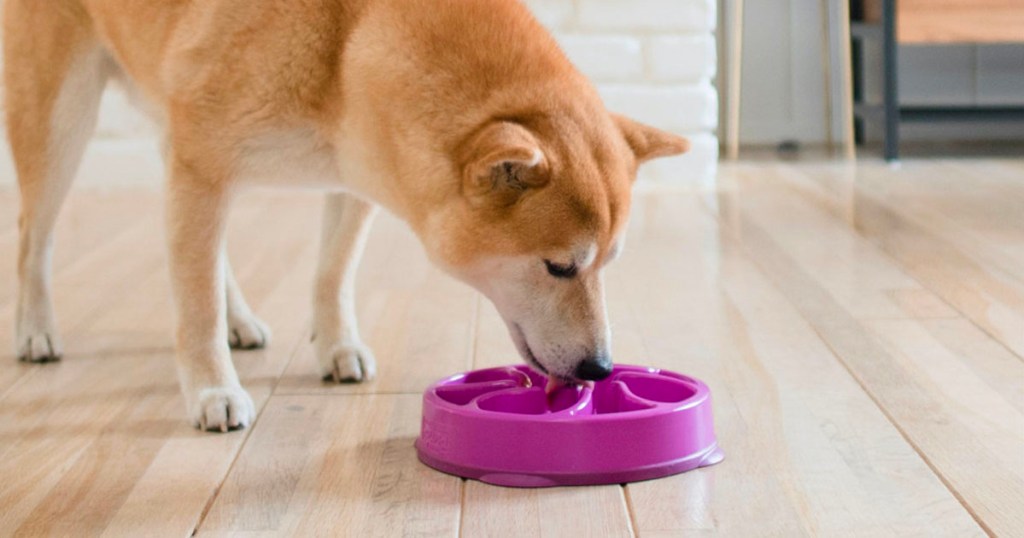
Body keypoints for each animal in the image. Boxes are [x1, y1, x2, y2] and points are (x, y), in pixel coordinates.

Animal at [6, 0, 688, 430]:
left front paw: (335, 346)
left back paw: (240, 318)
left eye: (609, 263)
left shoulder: (358, 173)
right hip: (63, 120)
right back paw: (35, 328)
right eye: (559, 267)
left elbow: (331, 274)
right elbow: (194, 307)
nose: (601, 369)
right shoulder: (202, 168)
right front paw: (212, 388)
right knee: (33, 237)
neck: (349, 40)